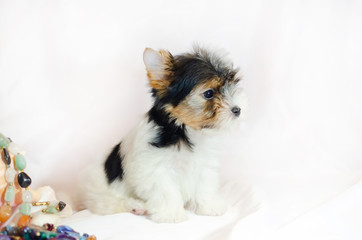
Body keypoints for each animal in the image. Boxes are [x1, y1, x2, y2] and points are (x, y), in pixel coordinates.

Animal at [80, 46, 247, 222]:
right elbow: (166, 191)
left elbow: (204, 185)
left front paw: (209, 206)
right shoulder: (155, 168)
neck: (183, 130)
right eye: (209, 93)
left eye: (231, 86)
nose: (238, 109)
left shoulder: (204, 164)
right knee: (108, 204)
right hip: (100, 190)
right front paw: (172, 214)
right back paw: (135, 206)